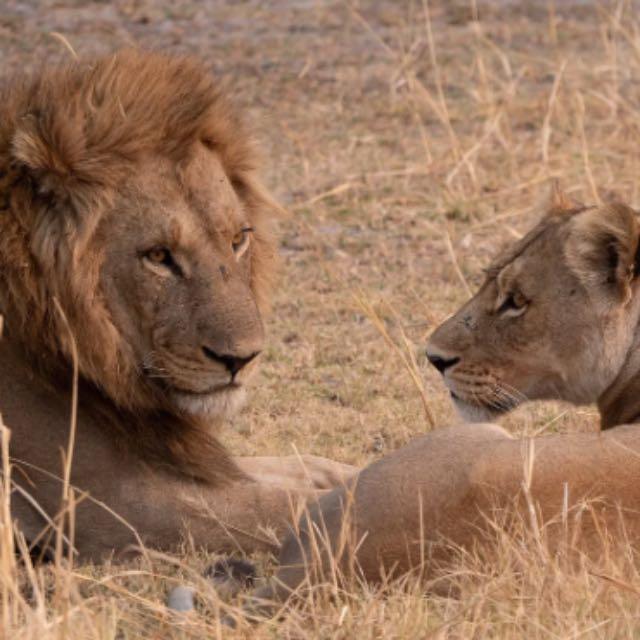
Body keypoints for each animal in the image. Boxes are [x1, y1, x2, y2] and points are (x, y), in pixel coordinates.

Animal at [0, 50, 350, 560]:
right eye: (159, 256)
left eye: (238, 240)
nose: (241, 359)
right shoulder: (111, 504)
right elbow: (287, 505)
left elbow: (285, 467)